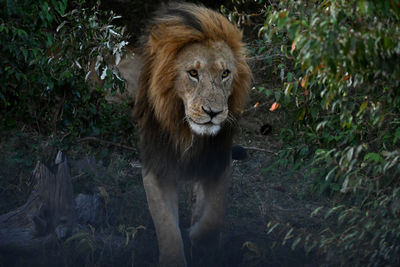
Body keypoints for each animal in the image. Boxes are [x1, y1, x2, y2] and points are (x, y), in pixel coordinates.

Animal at [133, 2, 250, 267]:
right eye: (193, 73)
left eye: (225, 73)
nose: (213, 112)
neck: (188, 134)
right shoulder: (156, 168)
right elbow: (166, 226)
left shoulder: (218, 162)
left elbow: (214, 215)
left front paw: (198, 236)